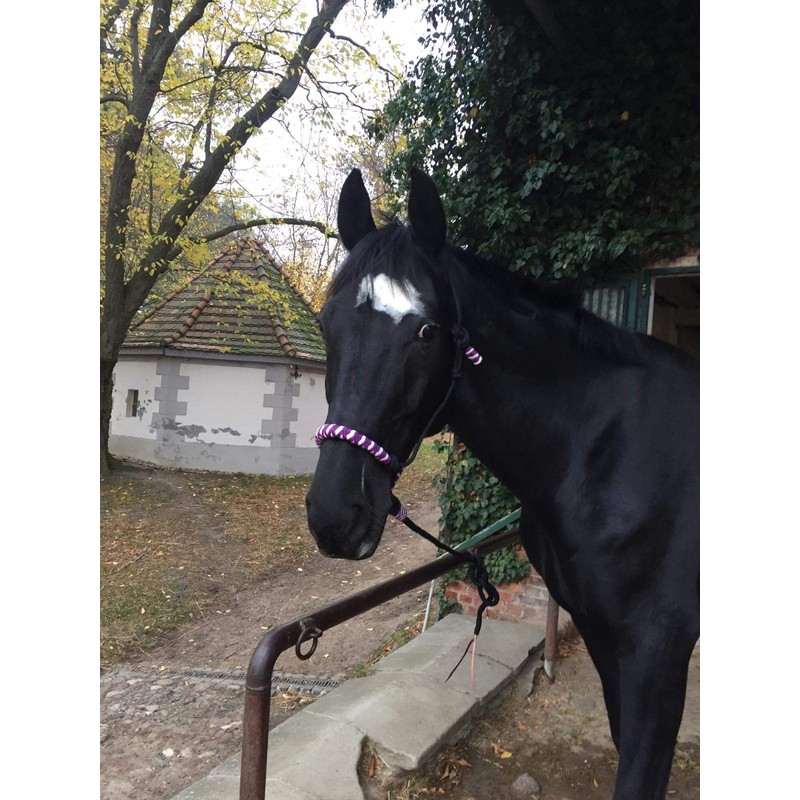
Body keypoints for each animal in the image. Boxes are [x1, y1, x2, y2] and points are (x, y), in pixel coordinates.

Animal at [305, 168, 699, 799]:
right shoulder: (604, 635)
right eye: (326, 323)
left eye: (426, 331)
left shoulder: (657, 651)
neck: (610, 450)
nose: (334, 516)